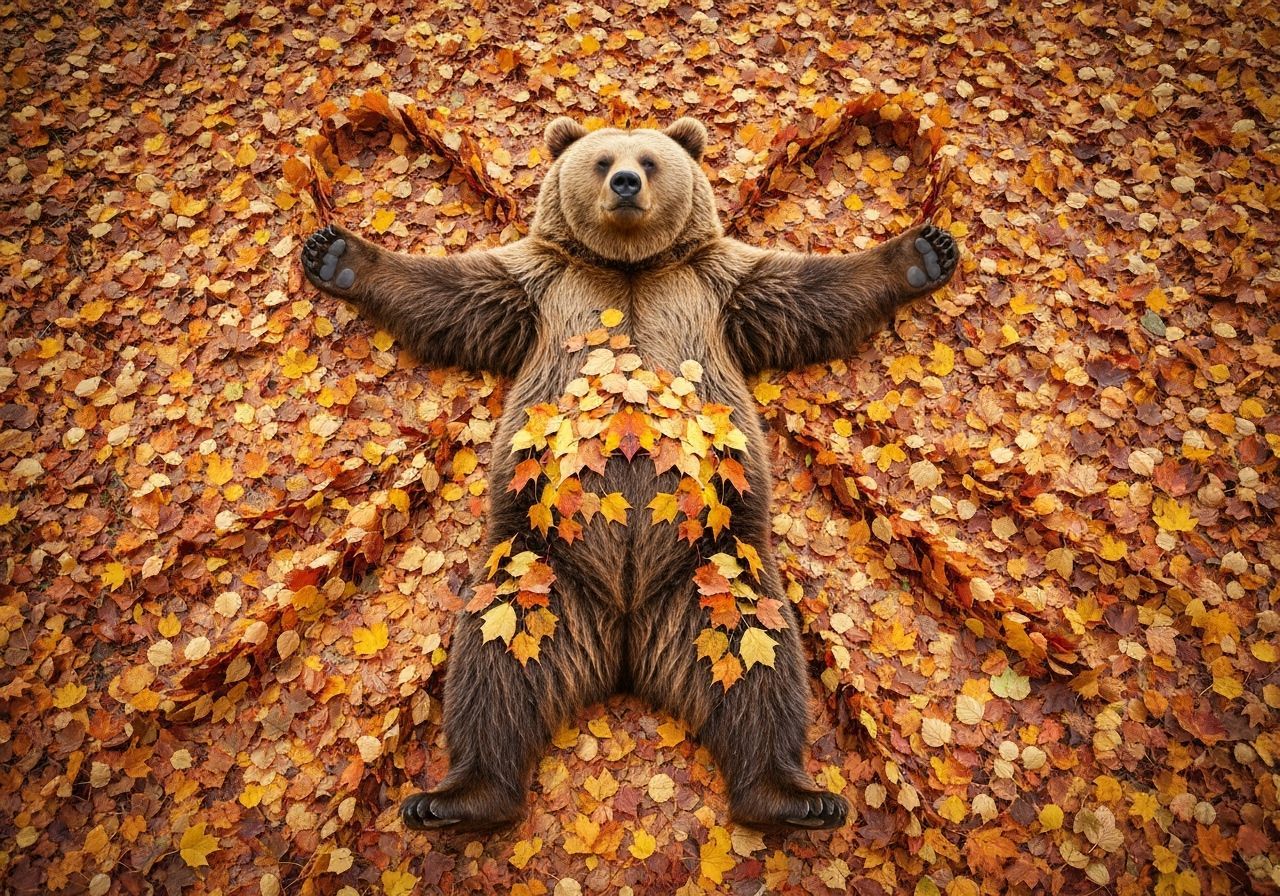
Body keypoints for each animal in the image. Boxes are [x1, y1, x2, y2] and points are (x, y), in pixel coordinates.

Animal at [301, 116, 957, 833]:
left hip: (720, 564)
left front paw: (926, 251)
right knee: (493, 664)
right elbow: (450, 294)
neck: (630, 266)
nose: (623, 183)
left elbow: (809, 292)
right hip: (535, 560)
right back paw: (457, 797)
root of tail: (624, 639)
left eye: (648, 159)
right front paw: (334, 254)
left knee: (759, 665)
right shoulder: (539, 286)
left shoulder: (718, 286)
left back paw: (793, 795)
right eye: (601, 159)